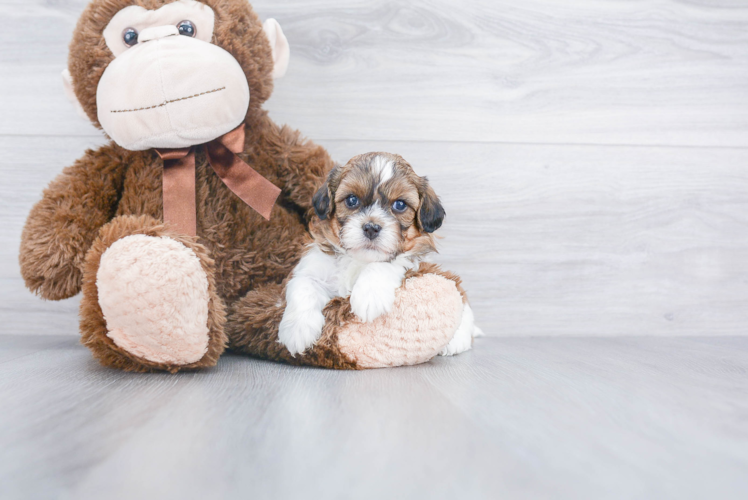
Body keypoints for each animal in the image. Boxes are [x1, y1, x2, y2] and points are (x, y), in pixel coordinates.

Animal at [278, 152, 482, 356]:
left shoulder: (409, 260)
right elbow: (303, 285)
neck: (359, 260)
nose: (371, 228)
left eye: (400, 205)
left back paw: (457, 340)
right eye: (352, 200)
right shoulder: (312, 267)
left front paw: (369, 296)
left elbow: (386, 264)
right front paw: (297, 330)